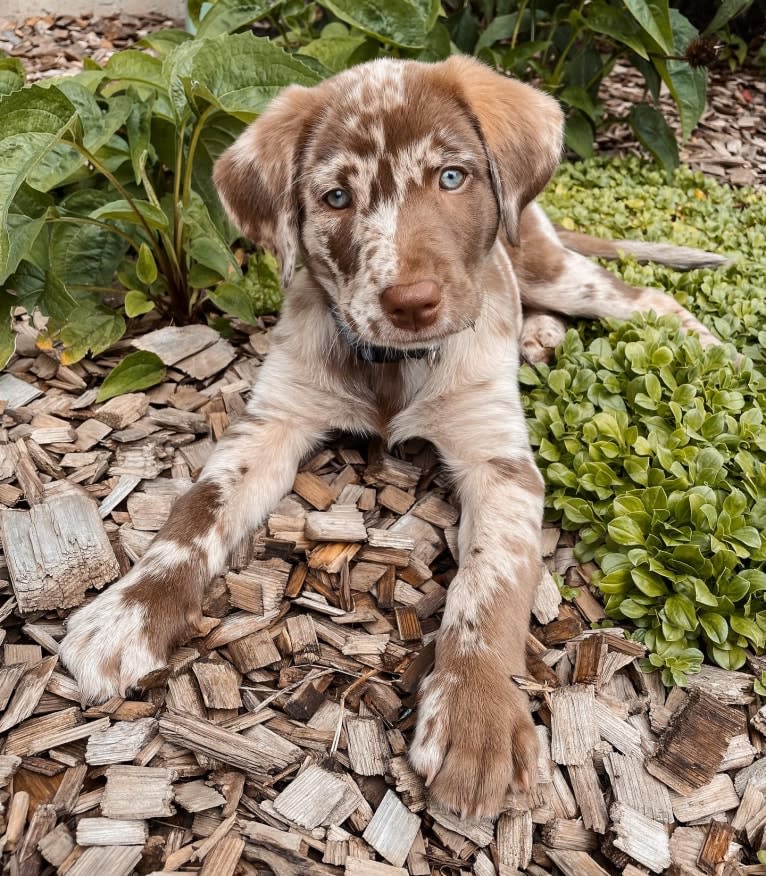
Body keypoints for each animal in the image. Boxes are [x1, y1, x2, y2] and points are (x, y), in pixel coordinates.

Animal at [61, 58, 728, 816]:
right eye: (336, 197)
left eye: (452, 177)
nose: (411, 303)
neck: (394, 368)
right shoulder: (273, 419)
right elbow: (192, 515)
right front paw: (129, 615)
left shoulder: (499, 460)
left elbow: (489, 586)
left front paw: (474, 716)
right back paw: (539, 336)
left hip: (547, 265)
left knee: (641, 298)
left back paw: (711, 349)